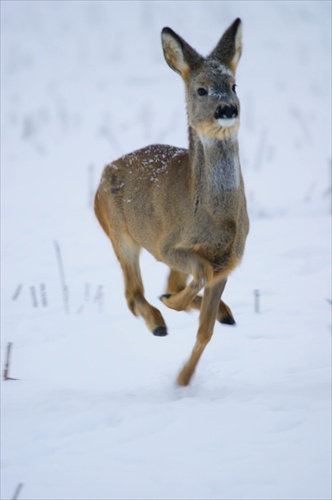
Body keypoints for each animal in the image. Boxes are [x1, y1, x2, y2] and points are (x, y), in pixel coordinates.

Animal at [94, 18, 249, 386]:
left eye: (234, 85)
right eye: (201, 90)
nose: (227, 109)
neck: (216, 219)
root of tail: (101, 178)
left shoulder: (229, 261)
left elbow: (205, 330)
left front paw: (183, 379)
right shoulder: (168, 245)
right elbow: (199, 274)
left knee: (164, 285)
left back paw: (218, 313)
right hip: (120, 234)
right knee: (133, 294)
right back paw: (159, 322)